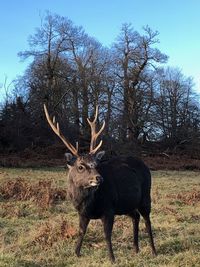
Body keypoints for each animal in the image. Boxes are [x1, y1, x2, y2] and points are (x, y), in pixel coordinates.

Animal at [43, 104, 156, 264]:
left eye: (96, 164)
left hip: (145, 195)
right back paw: (136, 248)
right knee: (135, 216)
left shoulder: (109, 209)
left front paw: (112, 258)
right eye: (81, 166)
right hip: (126, 204)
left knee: (147, 220)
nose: (99, 178)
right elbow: (81, 231)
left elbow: (107, 234)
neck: (88, 203)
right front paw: (76, 253)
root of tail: (146, 166)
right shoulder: (83, 213)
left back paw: (153, 251)